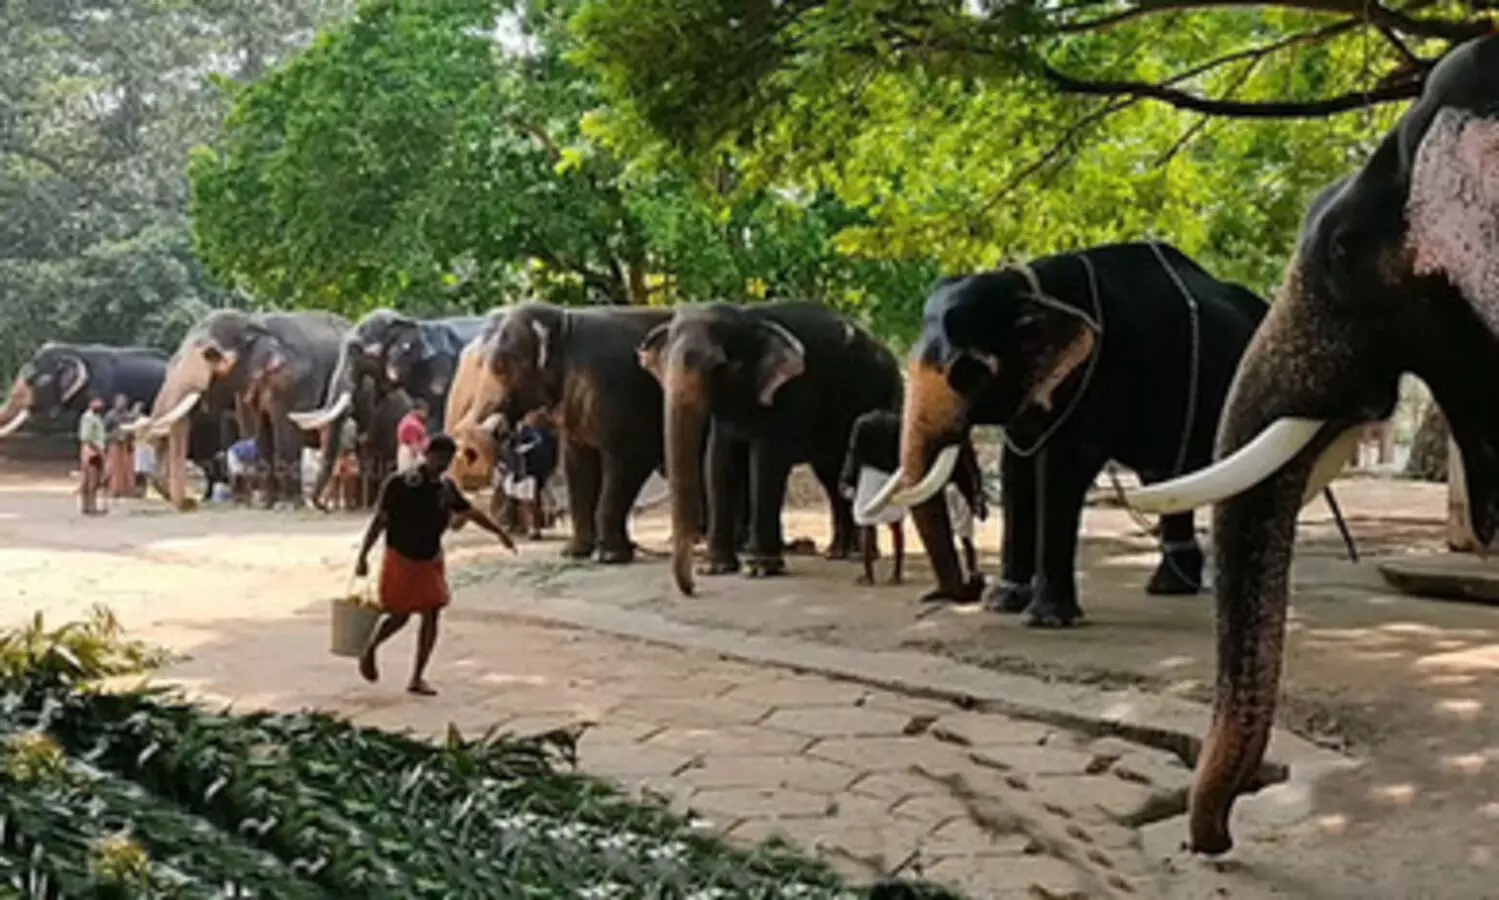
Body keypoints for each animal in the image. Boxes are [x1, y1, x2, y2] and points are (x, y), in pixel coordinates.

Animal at [132, 310, 351, 509]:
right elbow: (260, 433)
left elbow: (286, 430)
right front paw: (267, 504)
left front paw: (288, 506)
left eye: (211, 355)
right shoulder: (247, 387)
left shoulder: (294, 381)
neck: (254, 322)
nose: (190, 502)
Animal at [637, 300, 903, 595]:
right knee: (832, 476)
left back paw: (860, 555)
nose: (692, 588)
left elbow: (766, 462)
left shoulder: (792, 391)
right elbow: (718, 461)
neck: (748, 317)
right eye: (664, 363)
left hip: (879, 397)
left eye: (719, 366)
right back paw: (838, 553)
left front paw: (759, 569)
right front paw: (715, 568)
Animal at [859, 242, 1277, 628]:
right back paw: (1169, 587)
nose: (969, 590)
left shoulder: (1100, 374)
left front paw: (1045, 619)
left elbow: (1061, 466)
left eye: (970, 371)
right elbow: (1017, 467)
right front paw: (1003, 602)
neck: (1031, 288)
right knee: (1167, 475)